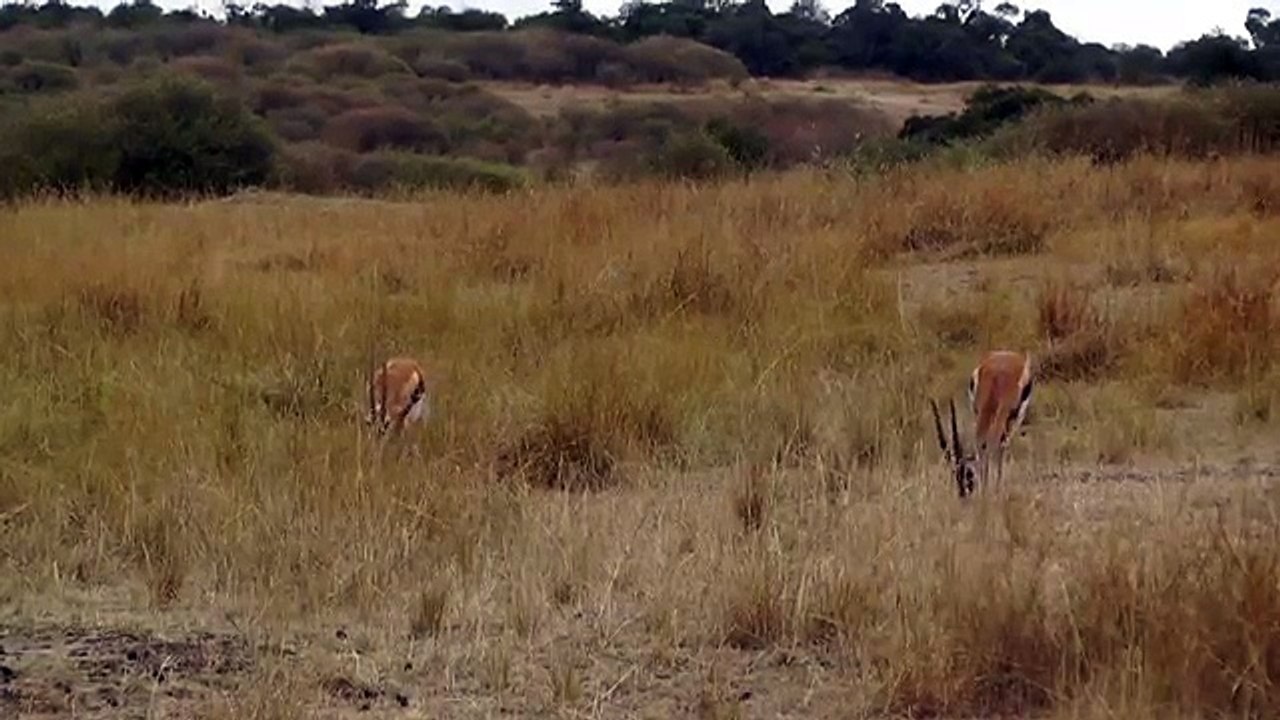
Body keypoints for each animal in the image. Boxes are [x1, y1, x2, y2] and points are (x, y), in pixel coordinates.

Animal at [930, 350, 1034, 497]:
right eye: (956, 474)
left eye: (967, 475)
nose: (962, 494)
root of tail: (1007, 355)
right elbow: (985, 445)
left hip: (1007, 417)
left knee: (999, 444)